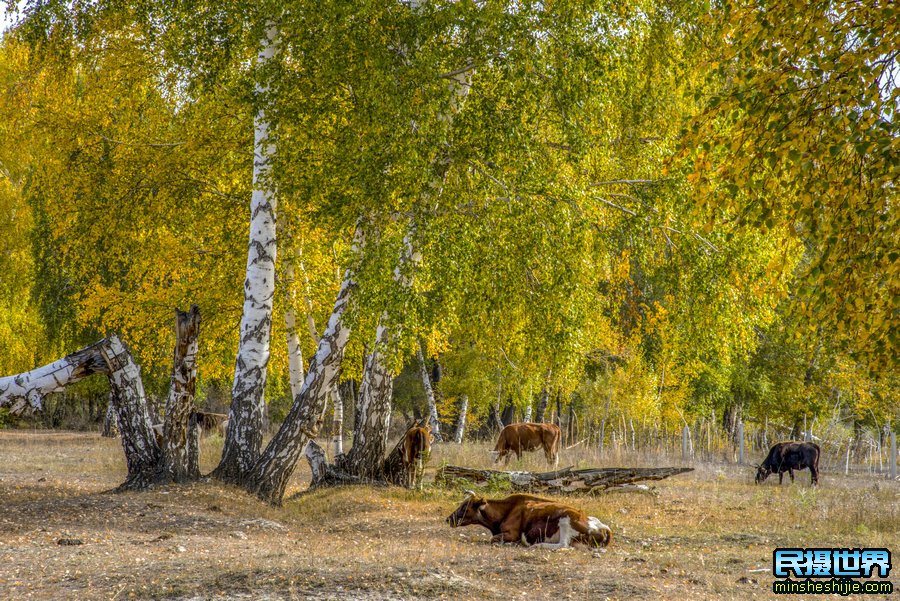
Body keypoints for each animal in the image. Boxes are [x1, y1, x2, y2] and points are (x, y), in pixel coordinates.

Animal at [444, 492, 612, 548]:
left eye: (465, 507)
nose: (448, 519)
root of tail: (603, 527)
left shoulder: (512, 533)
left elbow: (493, 539)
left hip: (566, 518)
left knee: (563, 545)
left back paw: (537, 545)